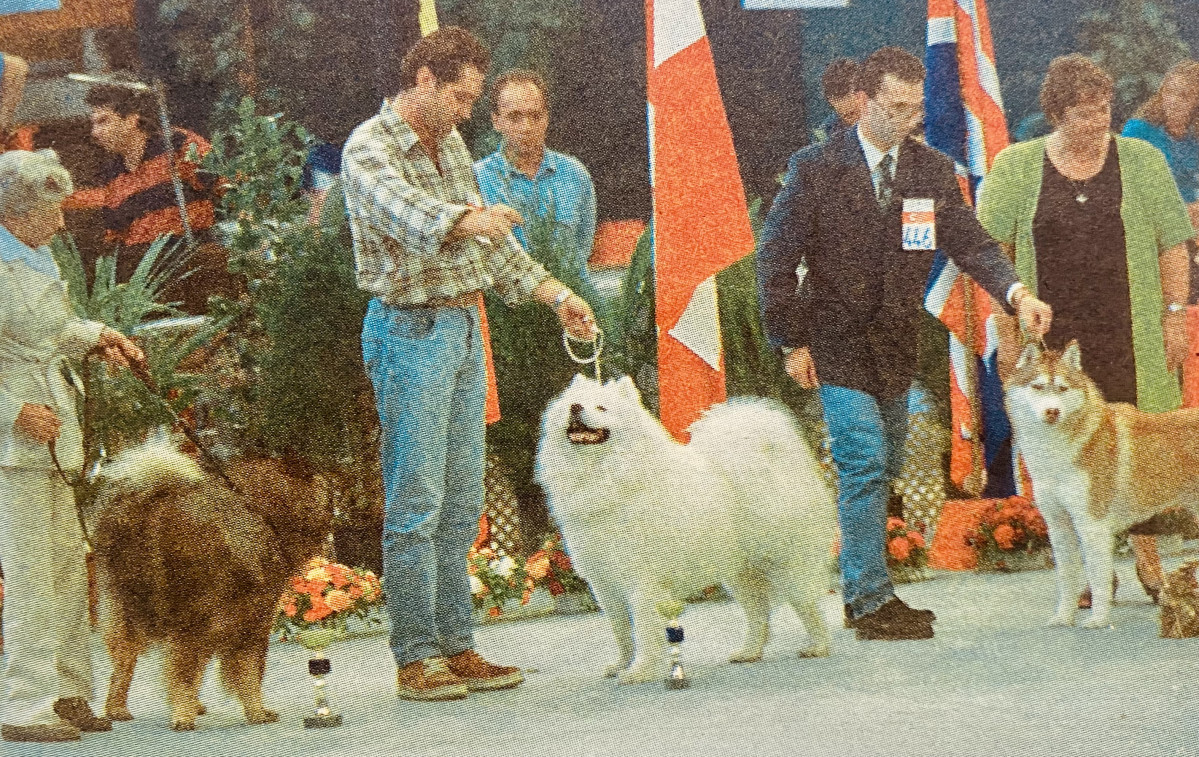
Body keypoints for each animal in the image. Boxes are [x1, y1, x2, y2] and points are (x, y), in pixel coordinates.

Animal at [91, 441, 330, 729]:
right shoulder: (213, 622)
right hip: (149, 614)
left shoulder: (248, 621)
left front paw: (254, 711)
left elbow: (245, 671)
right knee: (136, 662)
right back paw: (137, 709)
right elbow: (205, 672)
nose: (334, 503)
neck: (257, 514)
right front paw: (186, 715)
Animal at [539, 376, 839, 686]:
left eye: (602, 408)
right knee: (759, 614)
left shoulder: (641, 581)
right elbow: (621, 632)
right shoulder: (605, 583)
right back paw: (749, 652)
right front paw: (621, 664)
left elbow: (642, 632)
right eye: (573, 404)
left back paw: (817, 646)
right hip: (741, 575)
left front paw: (638, 671)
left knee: (808, 606)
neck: (605, 474)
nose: (575, 408)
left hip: (786, 566)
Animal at [1002, 343, 1199, 628]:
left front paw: (1098, 619)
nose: (1052, 412)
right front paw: (1064, 617)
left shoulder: (1091, 524)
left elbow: (1098, 578)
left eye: (1062, 389)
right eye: (1037, 387)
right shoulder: (1059, 525)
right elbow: (1067, 579)